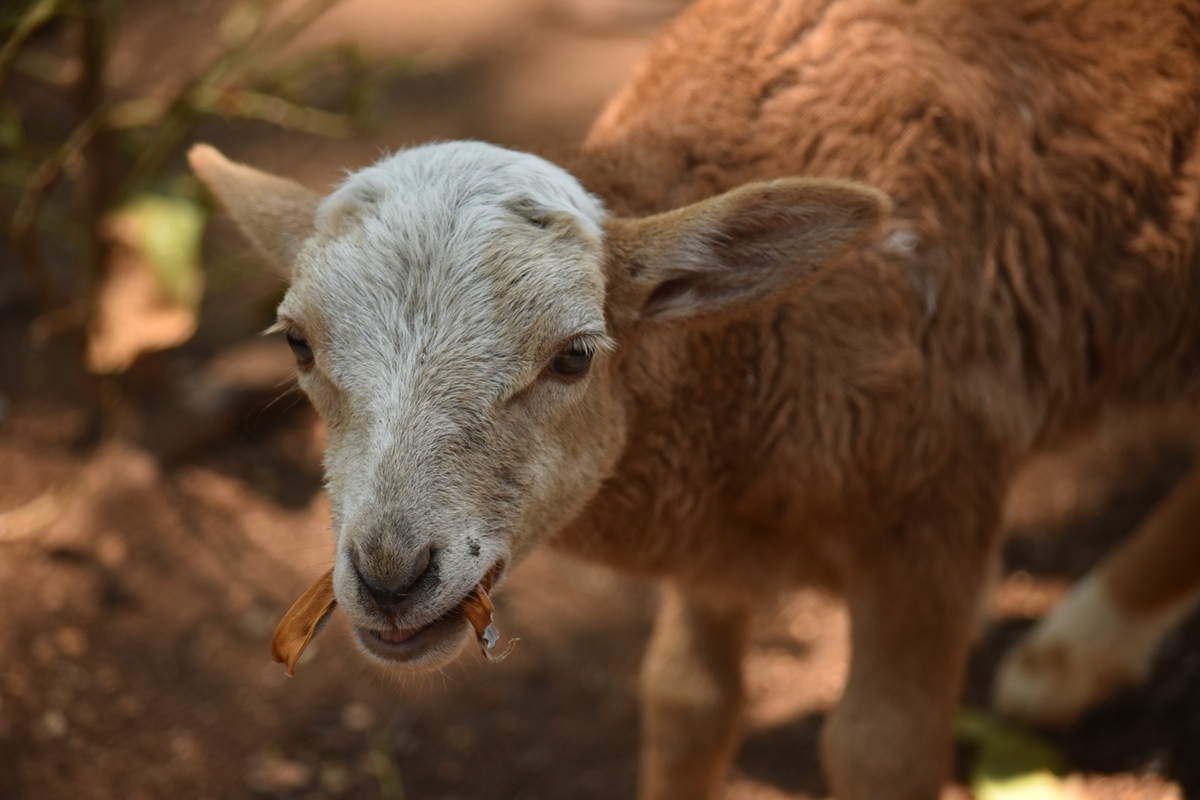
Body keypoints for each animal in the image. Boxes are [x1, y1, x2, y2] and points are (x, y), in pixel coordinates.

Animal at [189, 0, 1200, 797]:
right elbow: (685, 703)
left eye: (574, 357)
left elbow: (880, 750)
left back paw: (1069, 657)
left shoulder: (938, 503)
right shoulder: (718, 543)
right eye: (298, 344)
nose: (392, 576)